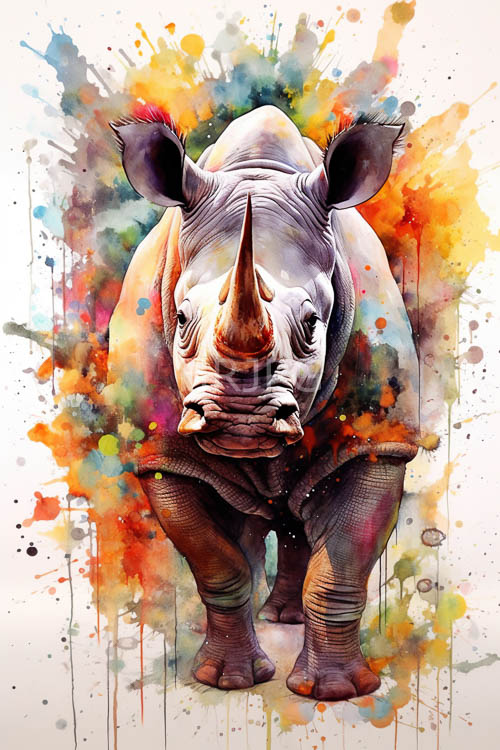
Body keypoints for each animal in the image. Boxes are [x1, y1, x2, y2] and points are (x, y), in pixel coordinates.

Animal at [107, 105, 419, 700]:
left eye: (313, 323)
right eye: (182, 318)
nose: (240, 419)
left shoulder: (381, 439)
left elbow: (343, 563)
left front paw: (336, 692)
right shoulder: (159, 453)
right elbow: (216, 562)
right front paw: (226, 681)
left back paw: (285, 621)